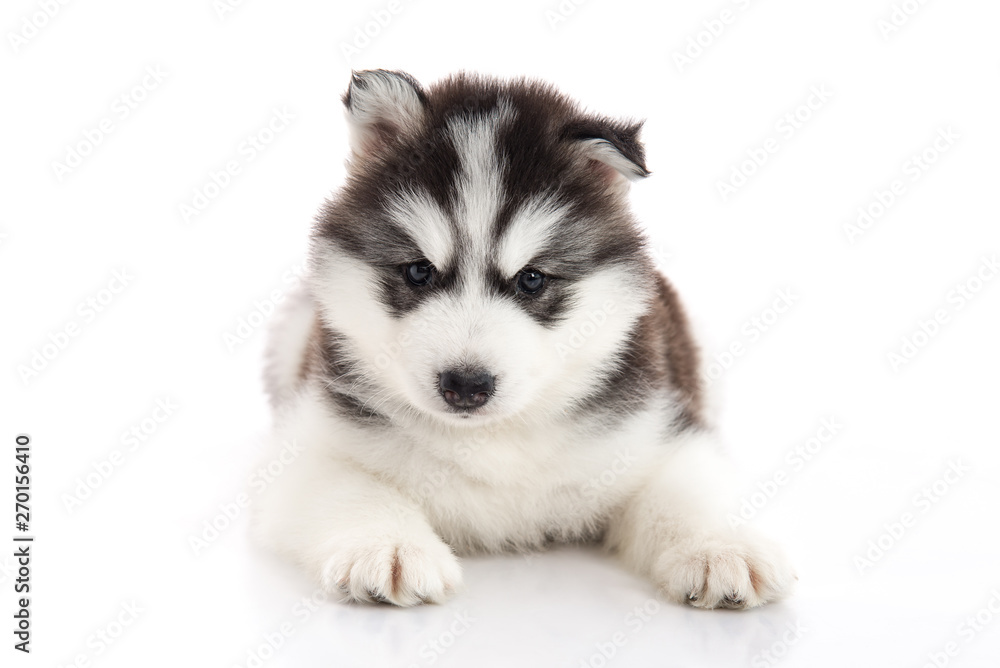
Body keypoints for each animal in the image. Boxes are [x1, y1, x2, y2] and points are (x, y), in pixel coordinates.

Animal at [256, 70, 796, 608]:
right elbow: (352, 488)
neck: (494, 439)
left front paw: (722, 548)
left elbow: (685, 493)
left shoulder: (662, 429)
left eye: (531, 279)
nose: (466, 386)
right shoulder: (304, 446)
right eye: (418, 271)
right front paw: (388, 546)